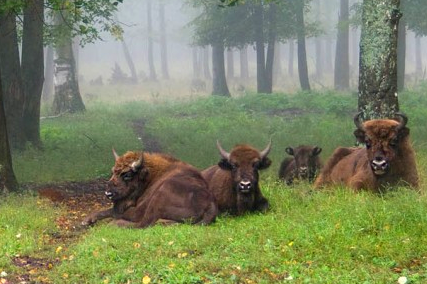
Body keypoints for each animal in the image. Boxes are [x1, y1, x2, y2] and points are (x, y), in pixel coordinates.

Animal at [82, 151, 219, 229]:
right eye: (113, 172)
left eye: (127, 175)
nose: (108, 193)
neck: (150, 176)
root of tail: (210, 203)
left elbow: (113, 211)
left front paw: (88, 221)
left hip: (161, 193)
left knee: (142, 224)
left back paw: (114, 224)